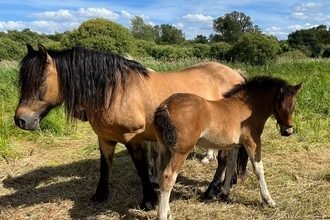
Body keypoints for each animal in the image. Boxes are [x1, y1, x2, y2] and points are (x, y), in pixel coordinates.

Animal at [13, 43, 245, 211]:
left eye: (40, 82)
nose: (21, 120)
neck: (114, 91)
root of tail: (236, 75)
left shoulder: (133, 138)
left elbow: (141, 168)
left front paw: (149, 201)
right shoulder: (105, 138)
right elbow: (105, 166)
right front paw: (99, 195)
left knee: (223, 159)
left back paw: (212, 189)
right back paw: (228, 182)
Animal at [153, 76, 300, 220]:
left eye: (294, 107)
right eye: (280, 107)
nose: (288, 131)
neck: (247, 107)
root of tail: (166, 105)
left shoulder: (234, 145)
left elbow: (230, 166)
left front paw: (225, 194)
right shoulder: (252, 142)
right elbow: (259, 169)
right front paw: (269, 200)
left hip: (165, 150)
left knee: (161, 175)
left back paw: (168, 213)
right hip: (181, 152)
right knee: (168, 176)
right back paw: (162, 215)